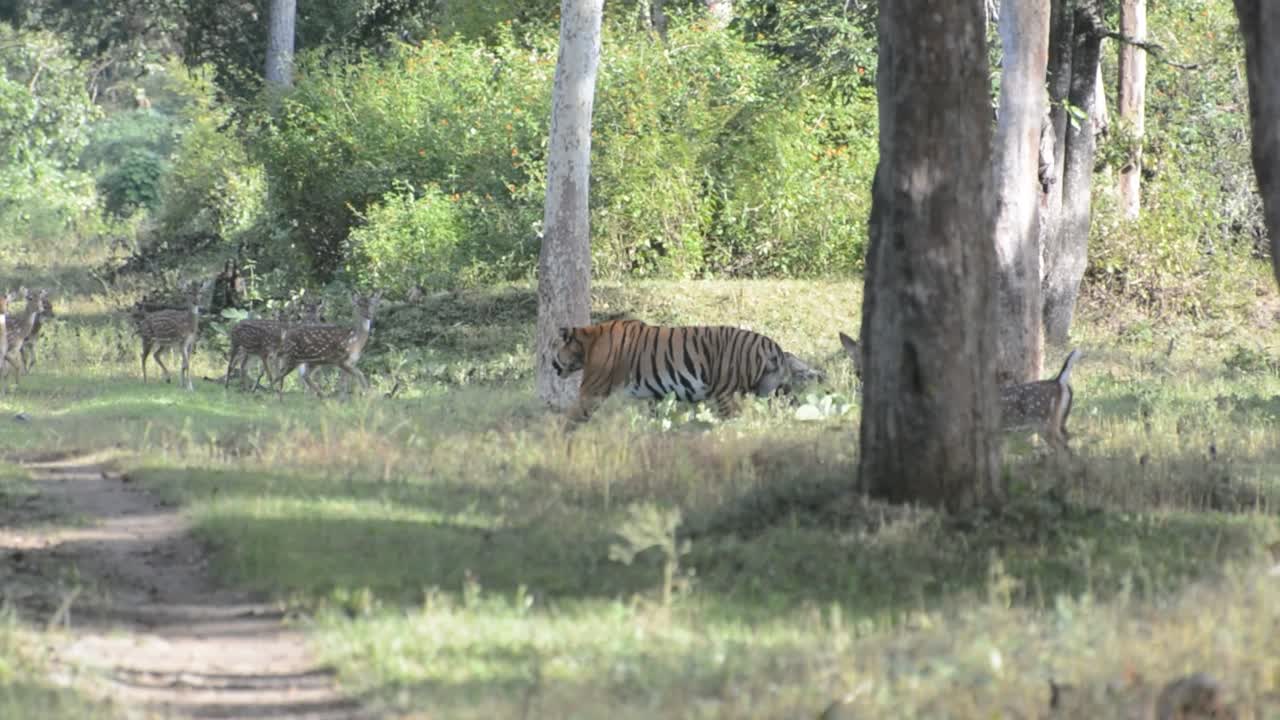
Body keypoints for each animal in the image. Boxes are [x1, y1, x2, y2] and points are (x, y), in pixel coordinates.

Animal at [550, 317, 819, 420]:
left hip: (726, 393)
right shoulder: (651, 396)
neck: (588, 343)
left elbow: (570, 418)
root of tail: (774, 346)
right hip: (777, 390)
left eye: (553, 347)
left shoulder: (590, 392)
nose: (551, 363)